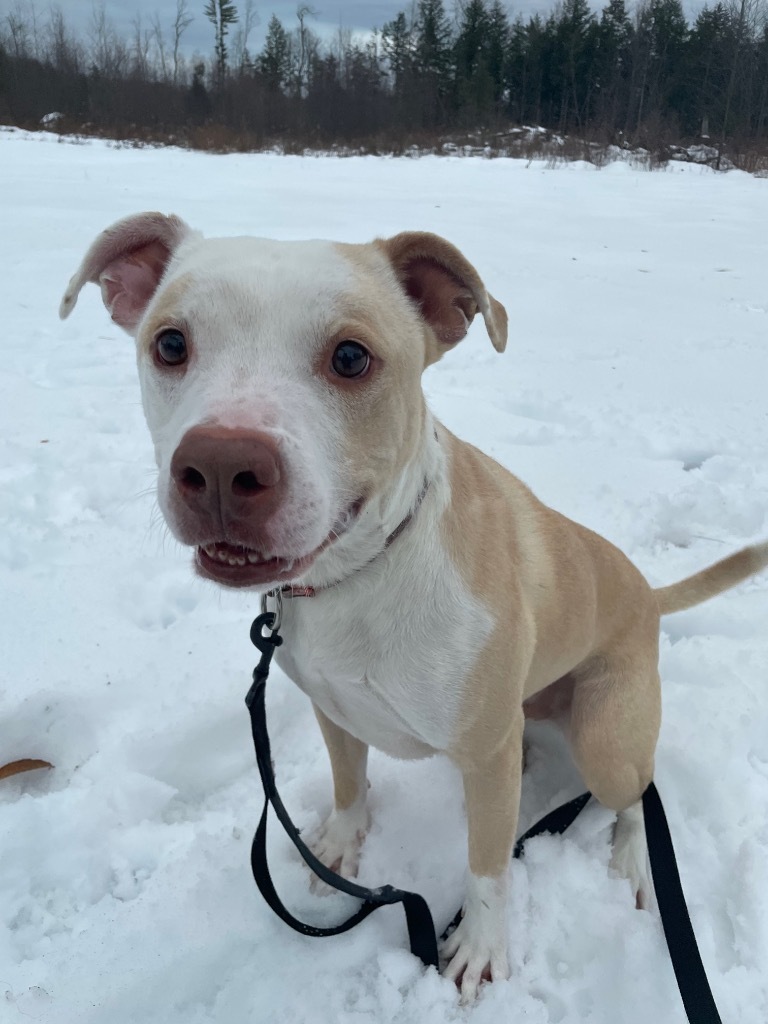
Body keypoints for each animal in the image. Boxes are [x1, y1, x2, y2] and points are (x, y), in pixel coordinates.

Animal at [60, 211, 768, 1003]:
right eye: (171, 344)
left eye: (350, 357)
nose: (218, 465)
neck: (357, 575)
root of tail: (647, 591)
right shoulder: (334, 708)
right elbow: (348, 786)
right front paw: (337, 849)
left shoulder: (485, 757)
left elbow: (488, 866)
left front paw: (481, 948)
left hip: (607, 736)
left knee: (636, 792)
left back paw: (632, 860)